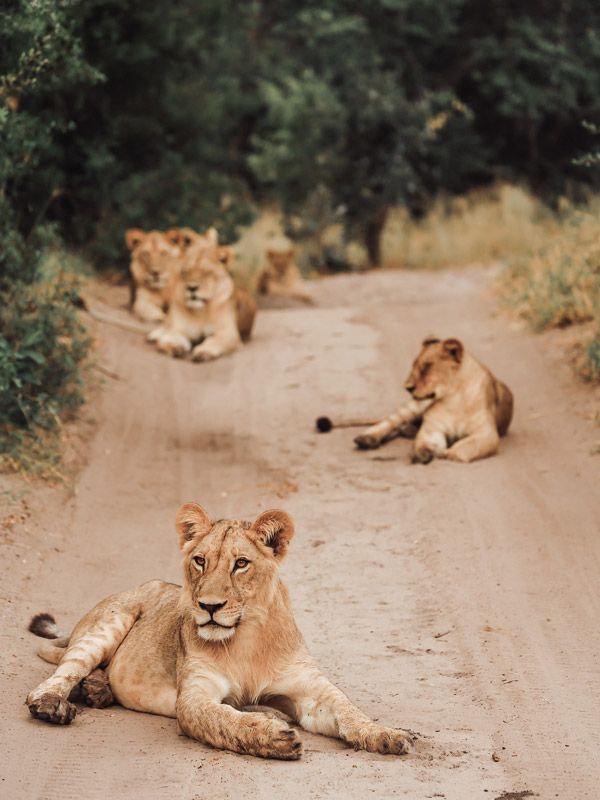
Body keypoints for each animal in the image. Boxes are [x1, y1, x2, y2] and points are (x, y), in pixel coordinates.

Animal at [26, 503, 414, 760]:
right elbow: (225, 719)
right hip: (110, 622)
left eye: (241, 563)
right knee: (62, 672)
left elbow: (350, 710)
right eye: (200, 561)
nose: (208, 606)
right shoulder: (195, 696)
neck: (247, 639)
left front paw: (388, 734)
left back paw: (96, 690)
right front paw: (273, 737)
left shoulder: (309, 688)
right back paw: (53, 704)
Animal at [354, 337, 514, 463]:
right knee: (389, 422)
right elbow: (424, 442)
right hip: (413, 408)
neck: (453, 398)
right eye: (414, 366)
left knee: (400, 428)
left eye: (426, 367)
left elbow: (467, 445)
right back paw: (366, 440)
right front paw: (421, 453)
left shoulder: (487, 433)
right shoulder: (433, 429)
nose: (407, 387)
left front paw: (448, 453)